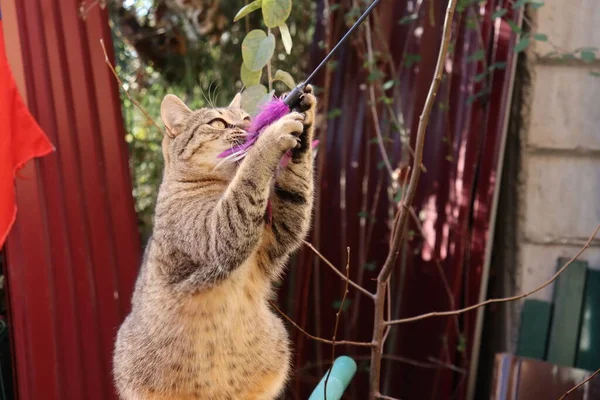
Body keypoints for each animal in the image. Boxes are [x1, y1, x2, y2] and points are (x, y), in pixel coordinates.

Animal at [113, 86, 318, 398]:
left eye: (246, 117)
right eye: (218, 123)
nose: (248, 127)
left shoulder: (280, 233)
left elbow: (296, 189)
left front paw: (304, 118)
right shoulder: (218, 235)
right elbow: (250, 172)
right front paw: (270, 135)